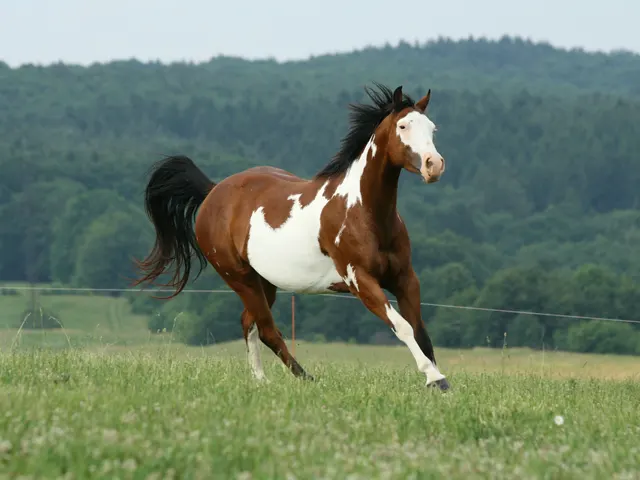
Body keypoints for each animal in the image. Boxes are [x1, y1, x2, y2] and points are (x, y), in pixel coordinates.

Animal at [131, 83, 450, 390]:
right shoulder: (361, 281)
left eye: (432, 128)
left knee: (249, 323)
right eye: (403, 126)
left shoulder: (405, 278)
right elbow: (403, 326)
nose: (434, 165)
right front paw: (435, 379)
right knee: (267, 330)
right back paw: (305, 379)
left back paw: (261, 380)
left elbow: (420, 330)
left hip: (264, 282)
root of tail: (213, 191)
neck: (364, 213)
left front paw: (438, 380)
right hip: (240, 278)